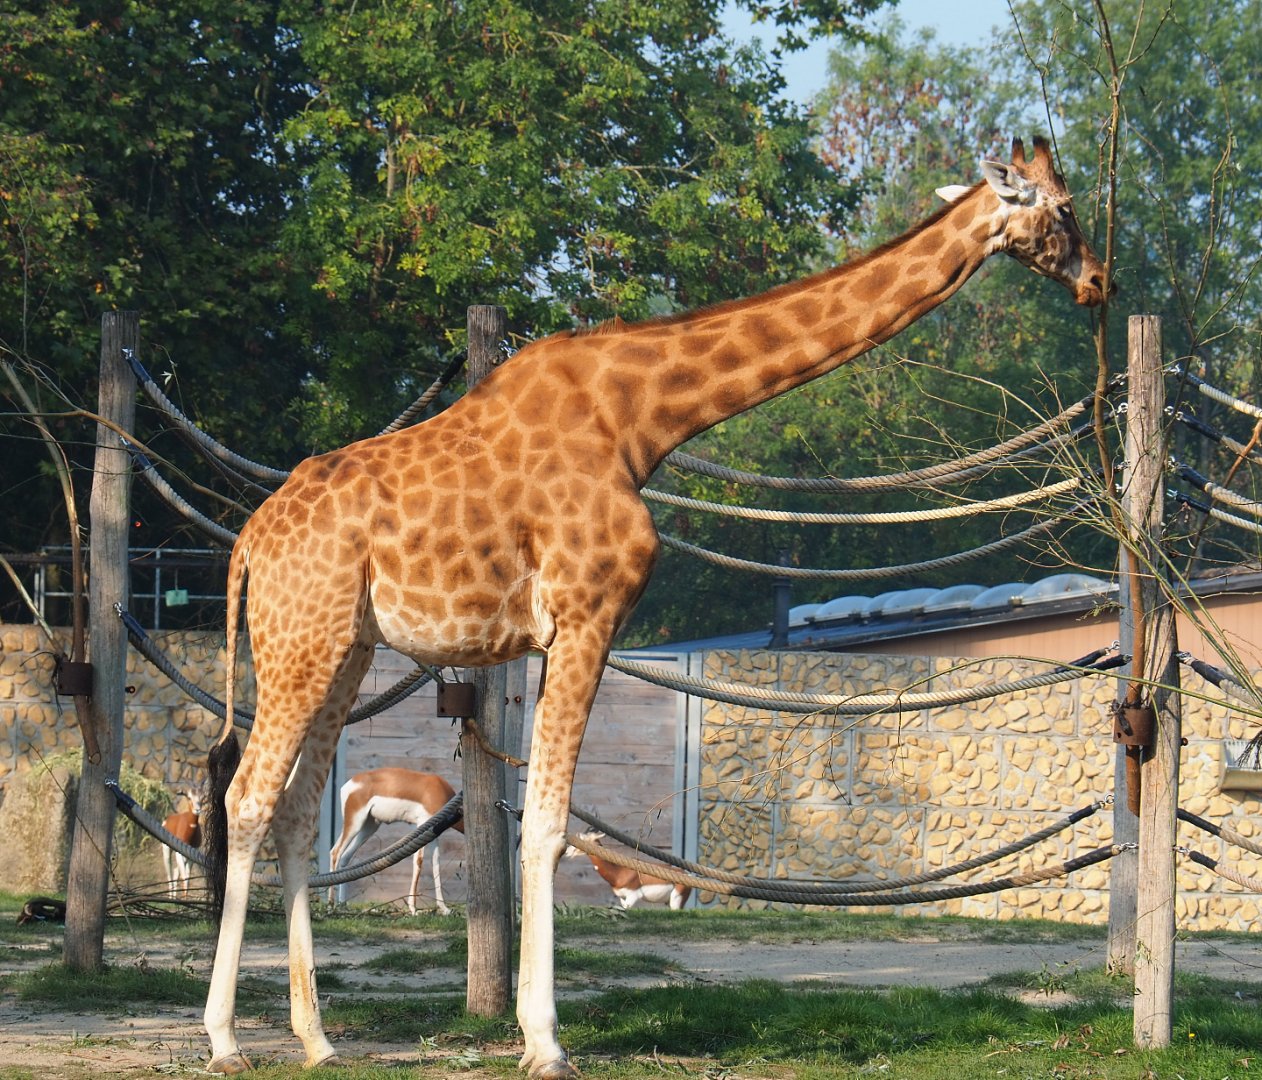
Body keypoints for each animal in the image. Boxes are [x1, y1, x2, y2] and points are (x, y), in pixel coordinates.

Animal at [201, 136, 1110, 1076]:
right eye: (1064, 209)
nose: (1098, 281)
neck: (642, 419)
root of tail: (249, 542)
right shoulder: (587, 614)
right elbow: (548, 824)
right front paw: (544, 1041)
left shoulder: (556, 631)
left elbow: (542, 818)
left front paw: (533, 1031)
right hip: (301, 640)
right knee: (247, 799)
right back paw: (226, 1038)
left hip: (342, 647)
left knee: (297, 808)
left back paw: (316, 1037)